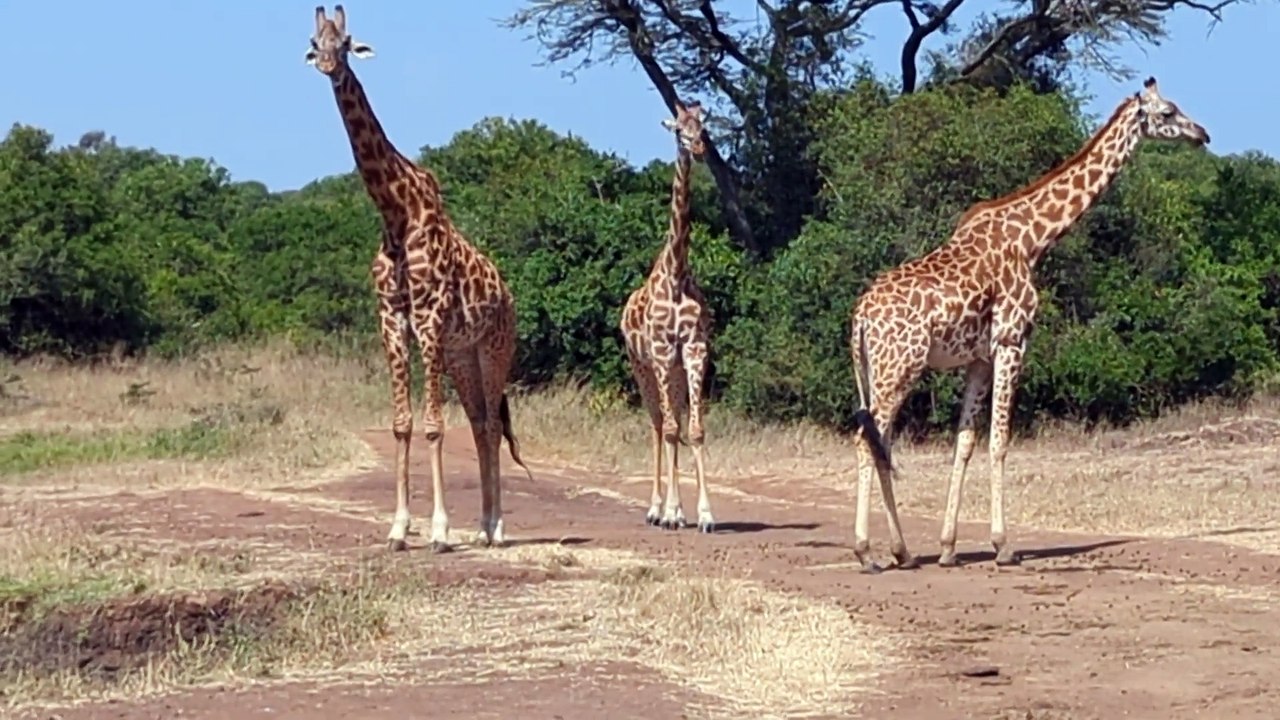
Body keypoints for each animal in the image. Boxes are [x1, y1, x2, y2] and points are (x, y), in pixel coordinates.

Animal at [305, 5, 531, 553]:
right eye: (314, 43)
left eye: (347, 43)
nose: (327, 66)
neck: (395, 212)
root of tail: (508, 295)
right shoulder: (392, 323)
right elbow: (402, 425)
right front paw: (398, 528)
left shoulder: (427, 323)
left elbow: (432, 426)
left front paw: (440, 531)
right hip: (462, 356)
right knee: (480, 422)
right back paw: (484, 524)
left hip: (494, 349)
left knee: (491, 425)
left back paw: (496, 527)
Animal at [847, 77, 1210, 573]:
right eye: (1169, 112)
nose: (1203, 135)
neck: (1033, 239)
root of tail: (860, 317)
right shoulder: (1012, 341)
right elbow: (1000, 441)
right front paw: (1003, 546)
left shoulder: (979, 358)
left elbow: (964, 443)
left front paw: (948, 548)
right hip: (898, 368)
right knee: (867, 442)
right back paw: (866, 552)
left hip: (874, 372)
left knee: (879, 442)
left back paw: (903, 551)